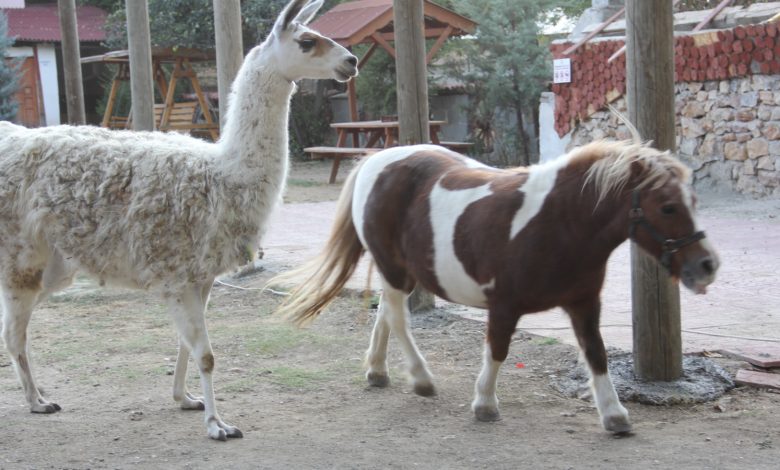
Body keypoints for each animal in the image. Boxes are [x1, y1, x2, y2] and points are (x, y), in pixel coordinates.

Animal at [276, 140, 720, 434]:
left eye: (694, 201)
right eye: (667, 206)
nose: (707, 265)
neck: (560, 222)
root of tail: (376, 161)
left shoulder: (583, 303)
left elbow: (596, 354)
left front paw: (614, 415)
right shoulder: (504, 305)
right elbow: (498, 350)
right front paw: (485, 403)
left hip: (402, 272)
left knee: (386, 312)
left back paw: (377, 371)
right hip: (395, 269)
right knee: (399, 320)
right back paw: (420, 378)